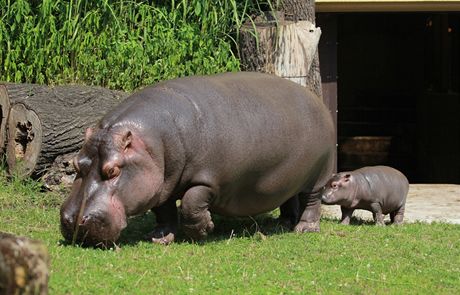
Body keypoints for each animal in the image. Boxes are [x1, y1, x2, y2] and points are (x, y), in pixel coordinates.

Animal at [60, 72, 334, 247]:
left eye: (114, 170)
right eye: (75, 164)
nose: (73, 221)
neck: (152, 144)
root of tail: (316, 100)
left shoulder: (209, 181)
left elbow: (191, 203)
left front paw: (204, 231)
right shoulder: (161, 183)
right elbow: (164, 210)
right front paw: (159, 238)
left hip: (319, 174)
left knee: (311, 200)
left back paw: (304, 228)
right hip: (289, 177)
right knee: (289, 198)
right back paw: (283, 224)